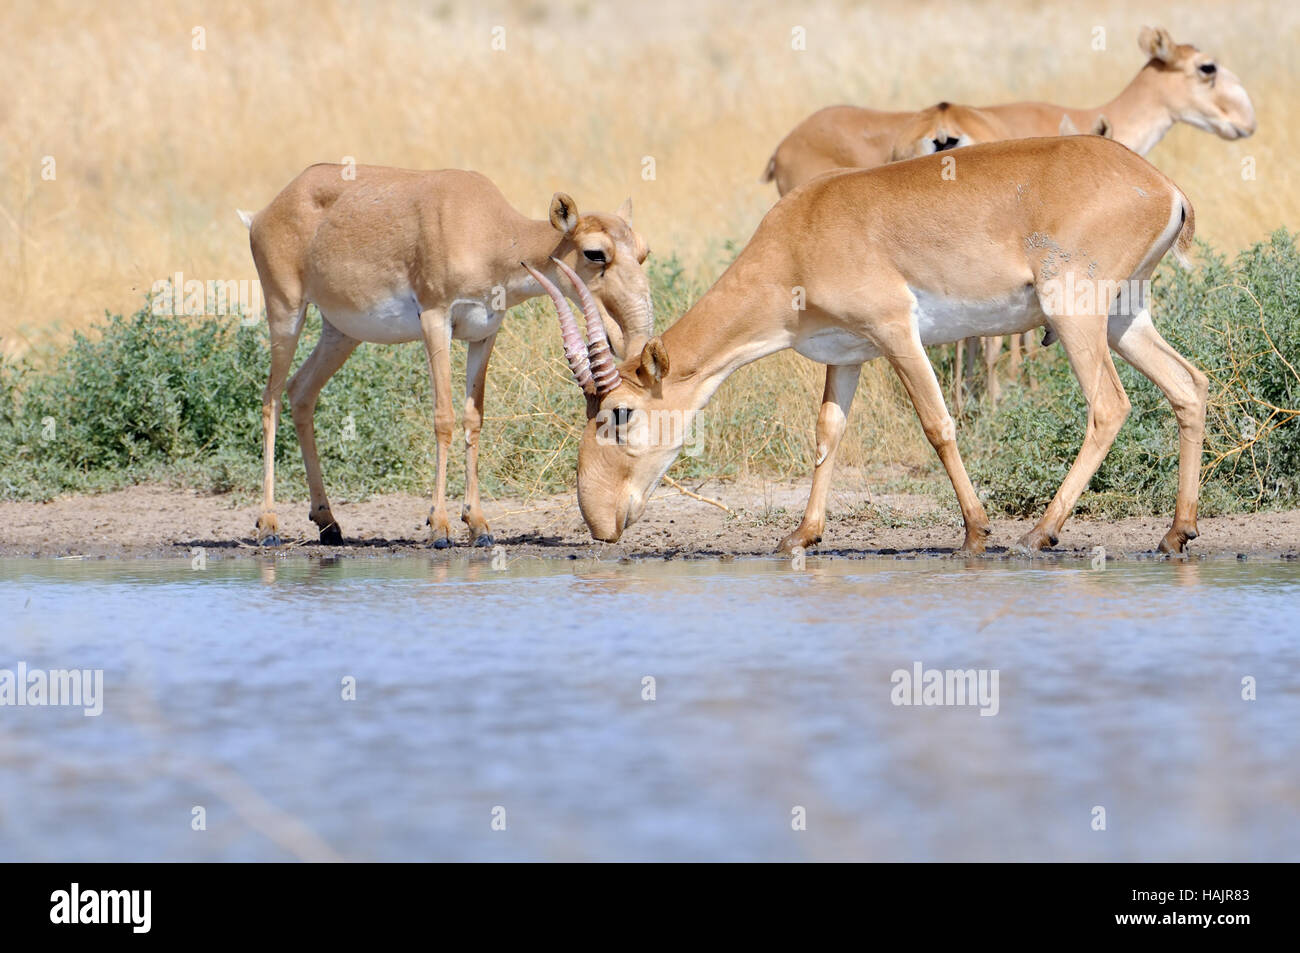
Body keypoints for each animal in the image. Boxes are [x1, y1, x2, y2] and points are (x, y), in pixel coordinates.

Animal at [237, 167, 650, 546]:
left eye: (644, 252)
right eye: (595, 253)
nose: (625, 339)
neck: (488, 229)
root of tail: (263, 214)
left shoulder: (483, 335)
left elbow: (473, 419)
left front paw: (478, 524)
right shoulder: (436, 321)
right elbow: (443, 418)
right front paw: (439, 525)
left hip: (340, 335)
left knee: (301, 392)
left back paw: (329, 524)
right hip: (286, 314)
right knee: (270, 398)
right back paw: (269, 525)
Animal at [540, 132, 1206, 551]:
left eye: (619, 413)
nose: (599, 522)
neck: (800, 234)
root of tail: (1164, 188)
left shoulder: (895, 333)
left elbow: (937, 424)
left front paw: (975, 531)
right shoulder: (848, 355)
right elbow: (827, 432)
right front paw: (800, 535)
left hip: (1075, 316)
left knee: (1109, 406)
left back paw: (1039, 532)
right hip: (1123, 319)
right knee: (1189, 385)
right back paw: (1176, 533)